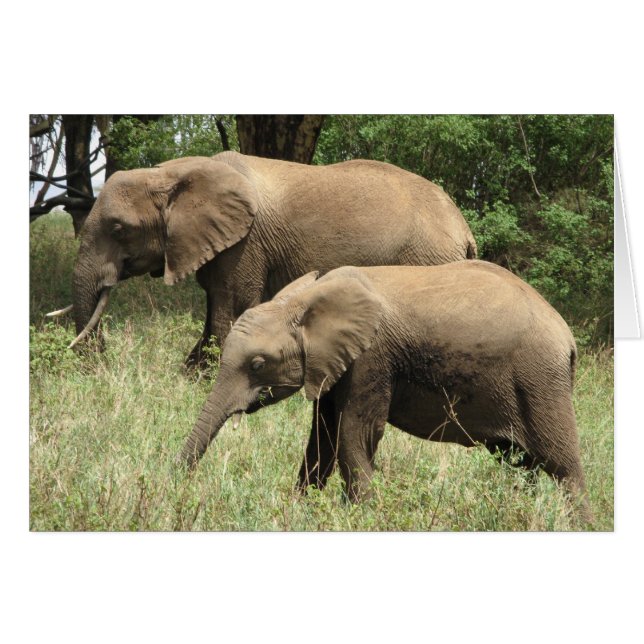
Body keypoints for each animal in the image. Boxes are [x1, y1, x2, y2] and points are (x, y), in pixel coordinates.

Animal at [64, 151, 477, 366]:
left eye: (119, 229)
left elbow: (229, 306)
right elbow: (214, 305)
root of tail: (463, 227)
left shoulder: (246, 243)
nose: (100, 358)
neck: (172, 172)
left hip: (427, 261)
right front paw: (191, 374)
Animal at [180, 261, 590, 520]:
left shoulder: (371, 358)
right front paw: (300, 513)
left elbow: (355, 435)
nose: (179, 484)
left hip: (540, 380)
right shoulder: (334, 364)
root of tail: (567, 338)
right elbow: (323, 438)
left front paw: (359, 518)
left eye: (257, 364)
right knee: (520, 464)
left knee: (562, 466)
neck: (305, 300)